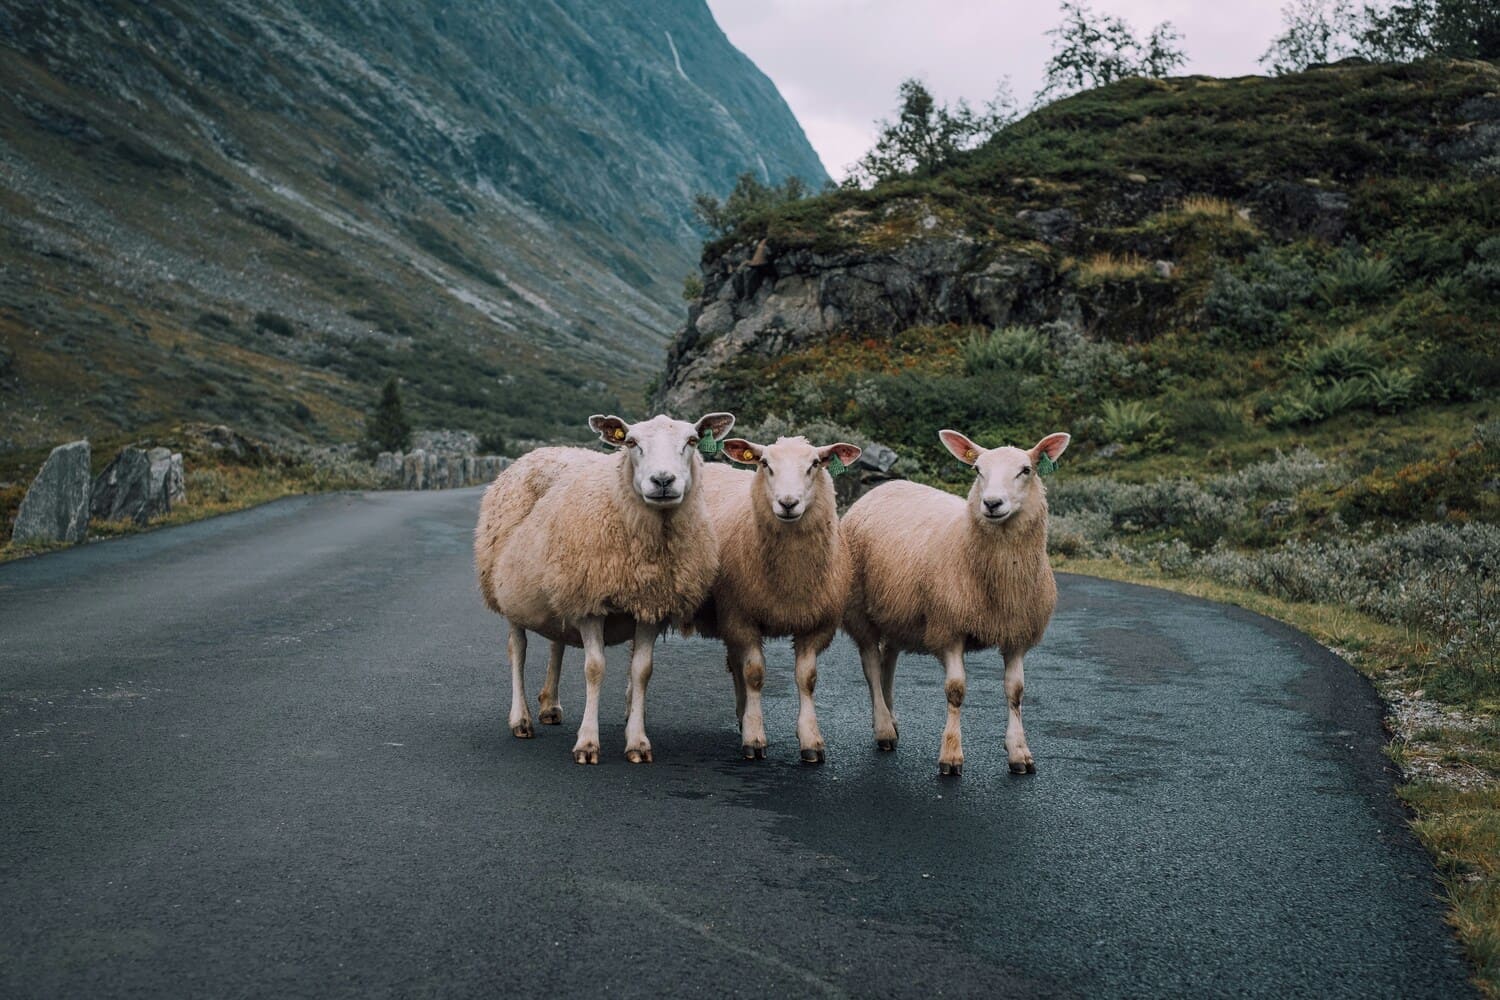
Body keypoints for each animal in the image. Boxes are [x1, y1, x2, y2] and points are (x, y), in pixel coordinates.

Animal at [471, 413, 735, 767]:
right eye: (631, 442)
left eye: (692, 441)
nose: (663, 481)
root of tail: (542, 451)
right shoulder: (591, 603)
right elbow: (594, 669)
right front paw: (587, 743)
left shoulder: (649, 604)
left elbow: (642, 671)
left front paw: (637, 742)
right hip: (508, 591)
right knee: (518, 650)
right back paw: (521, 719)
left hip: (561, 586)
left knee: (556, 643)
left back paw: (549, 705)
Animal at [687, 434, 858, 761]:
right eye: (765, 463)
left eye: (815, 464)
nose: (788, 503)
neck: (790, 580)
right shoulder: (742, 618)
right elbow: (754, 674)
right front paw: (755, 739)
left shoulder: (816, 624)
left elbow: (807, 679)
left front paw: (811, 740)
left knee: (734, 663)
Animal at [846, 425, 1068, 779]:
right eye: (977, 470)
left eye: (1026, 470)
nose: (991, 503)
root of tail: (886, 485)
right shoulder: (949, 627)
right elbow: (956, 691)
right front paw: (951, 755)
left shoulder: (1017, 634)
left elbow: (1016, 692)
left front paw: (1019, 752)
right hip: (860, 611)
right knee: (870, 665)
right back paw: (882, 729)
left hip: (898, 612)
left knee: (887, 662)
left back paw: (891, 720)